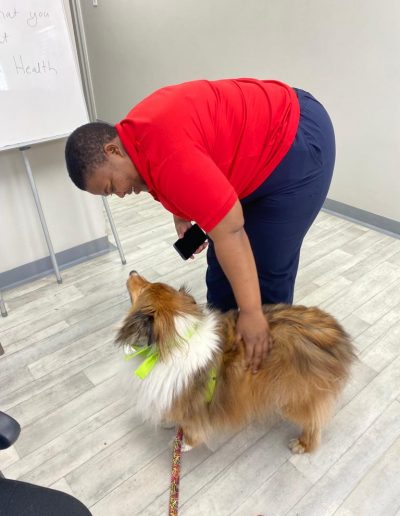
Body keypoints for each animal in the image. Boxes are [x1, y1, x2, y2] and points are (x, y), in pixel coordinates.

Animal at [115, 272, 356, 454]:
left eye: (144, 289)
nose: (132, 272)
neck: (173, 342)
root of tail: (337, 333)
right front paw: (168, 422)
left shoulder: (193, 405)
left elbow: (192, 429)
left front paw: (183, 444)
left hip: (297, 396)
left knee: (314, 422)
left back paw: (302, 444)